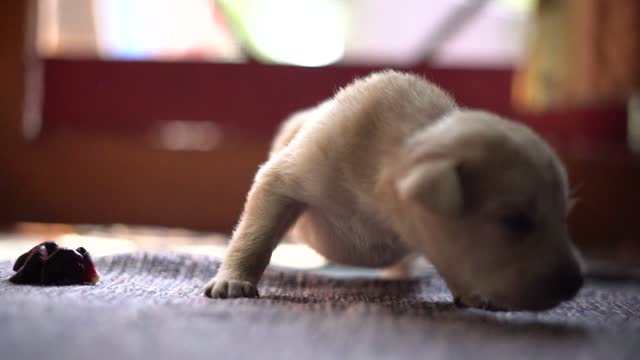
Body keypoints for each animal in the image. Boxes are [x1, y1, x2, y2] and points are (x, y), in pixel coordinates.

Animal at [202, 69, 584, 310]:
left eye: (562, 217)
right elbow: (256, 233)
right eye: (515, 221)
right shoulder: (292, 173)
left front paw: (471, 293)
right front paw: (234, 279)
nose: (575, 285)